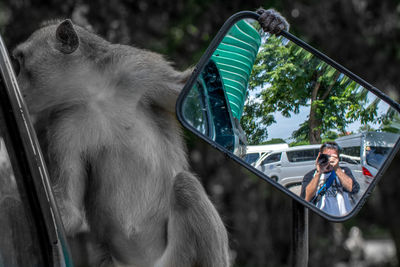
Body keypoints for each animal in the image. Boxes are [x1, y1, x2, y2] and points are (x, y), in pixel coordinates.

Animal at [12, 7, 288, 266]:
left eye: (21, 61)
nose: (17, 83)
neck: (94, 94)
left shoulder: (140, 70)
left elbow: (181, 86)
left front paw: (273, 21)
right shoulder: (62, 129)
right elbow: (69, 211)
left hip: (179, 255)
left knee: (186, 187)